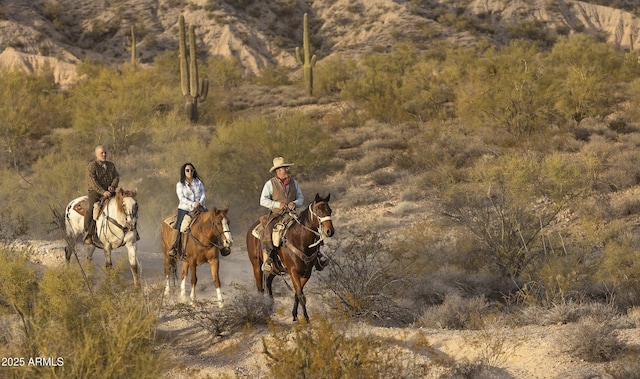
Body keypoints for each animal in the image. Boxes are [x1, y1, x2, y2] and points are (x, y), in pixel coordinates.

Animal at [246, 194, 336, 322]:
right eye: (318, 210)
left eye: (330, 210)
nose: (330, 231)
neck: (300, 239)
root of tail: (251, 230)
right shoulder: (293, 271)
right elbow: (301, 295)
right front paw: (306, 319)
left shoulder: (306, 273)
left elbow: (298, 293)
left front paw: (294, 315)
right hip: (256, 266)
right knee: (260, 289)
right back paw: (263, 310)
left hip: (275, 269)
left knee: (268, 283)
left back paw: (269, 307)